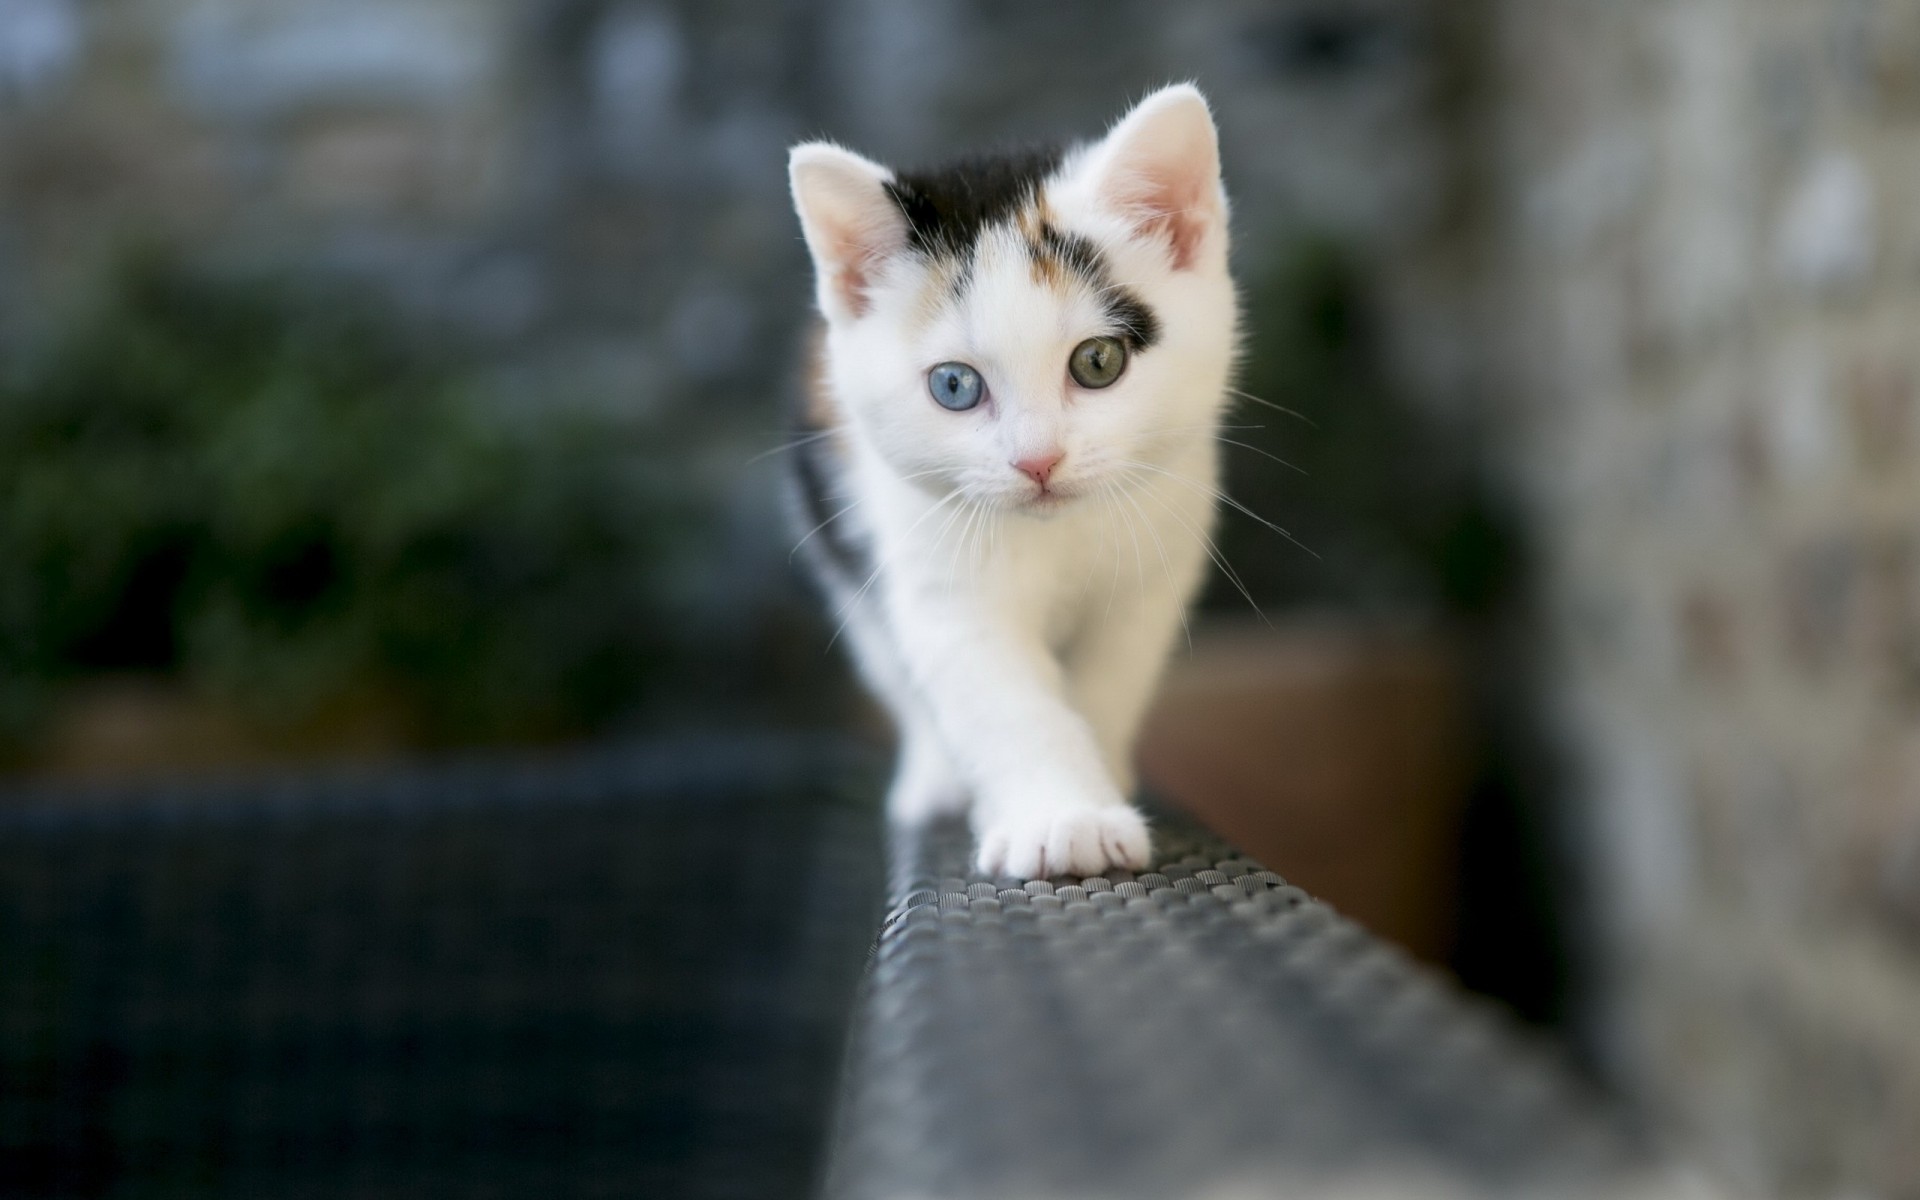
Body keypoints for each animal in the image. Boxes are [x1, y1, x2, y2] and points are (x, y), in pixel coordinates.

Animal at [787, 82, 1236, 871]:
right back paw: (935, 782)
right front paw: (1061, 817)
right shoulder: (932, 571)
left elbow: (1109, 680)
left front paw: (1099, 784)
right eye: (955, 386)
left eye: (1097, 362)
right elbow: (996, 695)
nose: (1038, 461)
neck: (1057, 532)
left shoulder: (1155, 564)